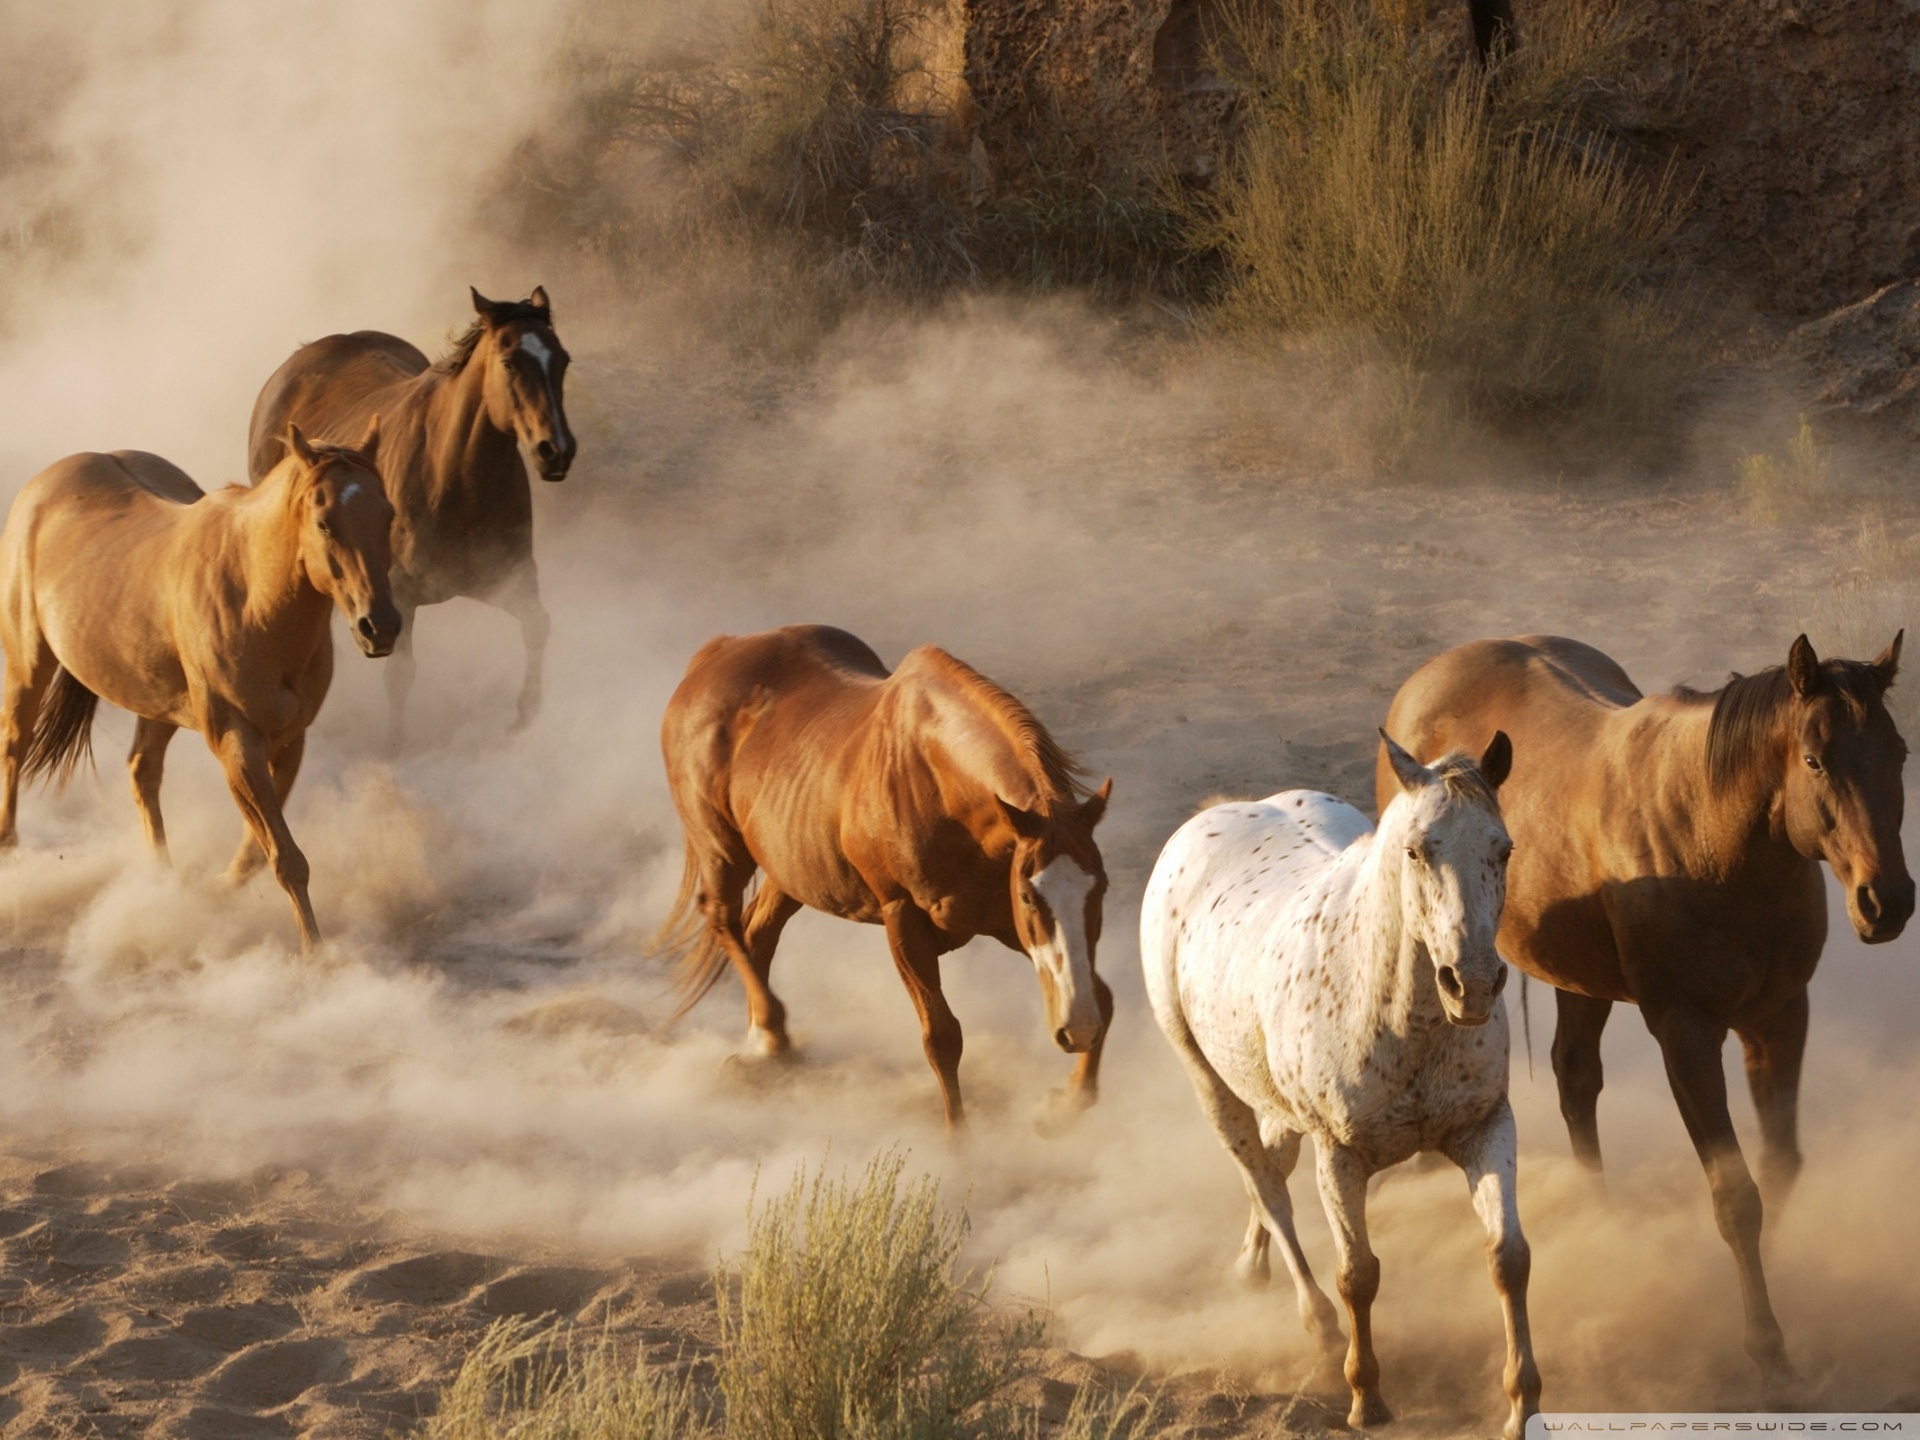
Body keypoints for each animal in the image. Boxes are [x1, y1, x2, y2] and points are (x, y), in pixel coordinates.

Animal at [0, 424, 399, 951]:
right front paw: (316, 955)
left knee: (142, 772)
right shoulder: (237, 742)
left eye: (388, 514)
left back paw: (161, 883)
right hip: (28, 666)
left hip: (155, 702)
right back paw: (11, 854)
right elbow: (286, 859)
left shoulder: (289, 741)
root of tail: (47, 482)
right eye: (324, 522)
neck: (254, 599)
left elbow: (260, 854)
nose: (381, 627)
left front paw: (218, 892)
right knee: (14, 745)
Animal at [246, 287, 575, 744]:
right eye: (510, 362)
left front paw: (527, 717)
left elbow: (538, 625)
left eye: (562, 359)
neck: (454, 477)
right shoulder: (397, 594)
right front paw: (396, 743)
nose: (556, 451)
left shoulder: (509, 577)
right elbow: (400, 674)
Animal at [656, 624, 1114, 1130]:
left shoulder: (1001, 922)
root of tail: (716, 652)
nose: (1077, 1028)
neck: (937, 783)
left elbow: (1104, 996)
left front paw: (1065, 1104)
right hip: (722, 849)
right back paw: (772, 1036)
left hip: (789, 869)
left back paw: (763, 1047)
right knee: (722, 918)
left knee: (758, 933)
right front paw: (960, 1142)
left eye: (1101, 889)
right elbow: (942, 1037)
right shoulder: (905, 920)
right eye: (1030, 896)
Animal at [1142, 732, 1537, 1439]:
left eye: (1503, 849)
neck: (1398, 1016)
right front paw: (1367, 1398)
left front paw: (1522, 1405)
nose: (1472, 984)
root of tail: (1215, 815)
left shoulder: (1486, 1127)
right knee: (1266, 1186)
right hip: (1208, 1081)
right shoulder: (1340, 1155)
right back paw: (1317, 1324)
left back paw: (1251, 1264)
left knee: (1271, 1164)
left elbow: (1507, 1258)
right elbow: (1359, 1275)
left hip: (1272, 1097)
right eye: (1417, 850)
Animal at [1379, 633, 1912, 1385]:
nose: (1886, 901)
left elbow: (1780, 1167)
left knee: (1576, 1079)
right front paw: (1766, 1345)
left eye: (1899, 753)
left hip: (1579, 979)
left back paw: (1603, 1217)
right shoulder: (1685, 1035)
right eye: (1814, 759)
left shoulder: (1780, 1019)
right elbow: (1736, 1195)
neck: (1715, 841)